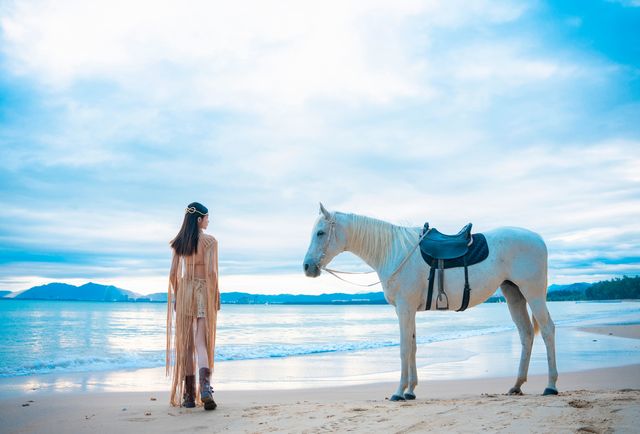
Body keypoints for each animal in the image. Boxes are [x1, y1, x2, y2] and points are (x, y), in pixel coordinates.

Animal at [302, 203, 556, 400]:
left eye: (320, 233)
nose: (307, 267)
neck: (393, 251)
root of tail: (539, 239)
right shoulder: (407, 310)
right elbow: (413, 346)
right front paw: (410, 391)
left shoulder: (404, 308)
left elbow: (404, 348)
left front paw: (398, 392)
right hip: (514, 293)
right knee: (526, 334)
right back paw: (516, 385)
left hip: (532, 293)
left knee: (547, 330)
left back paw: (551, 385)